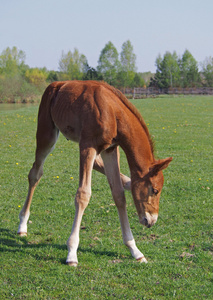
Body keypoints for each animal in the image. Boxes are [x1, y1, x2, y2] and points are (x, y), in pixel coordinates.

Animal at [17, 81, 172, 266]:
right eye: (154, 190)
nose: (151, 220)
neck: (113, 112)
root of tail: (56, 84)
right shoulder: (87, 146)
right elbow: (83, 194)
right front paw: (72, 253)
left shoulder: (110, 149)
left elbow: (119, 195)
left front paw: (135, 250)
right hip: (47, 134)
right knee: (35, 173)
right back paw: (22, 225)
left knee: (100, 167)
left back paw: (127, 182)